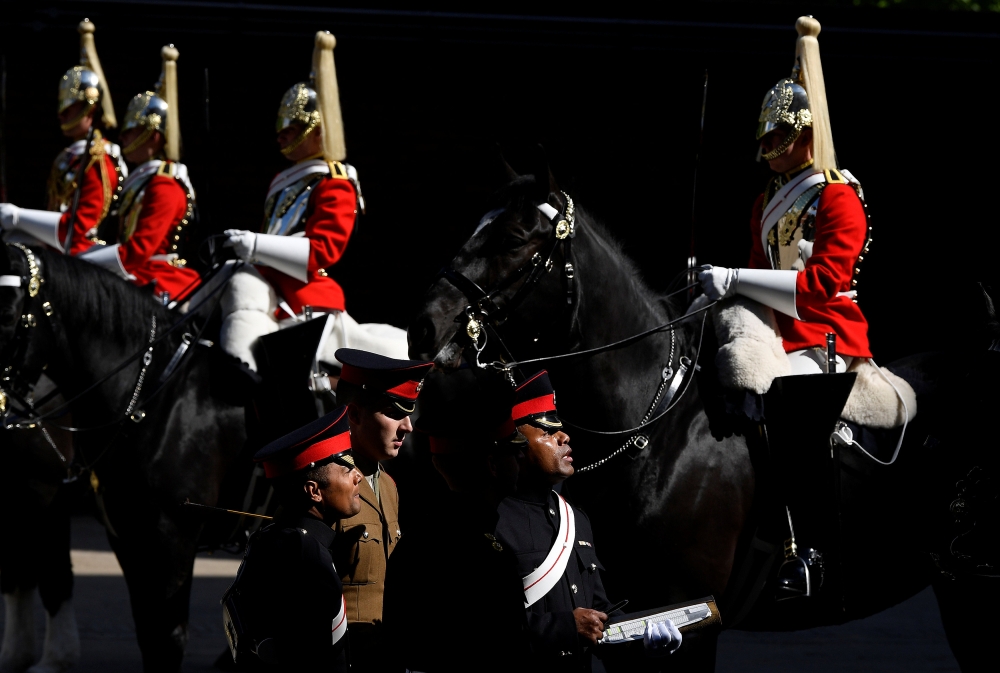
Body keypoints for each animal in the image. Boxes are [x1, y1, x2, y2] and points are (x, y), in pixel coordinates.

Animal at [0, 243, 247, 672]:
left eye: (10, 315)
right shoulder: (127, 536)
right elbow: (148, 635)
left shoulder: (170, 538)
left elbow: (166, 638)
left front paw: (52, 658)